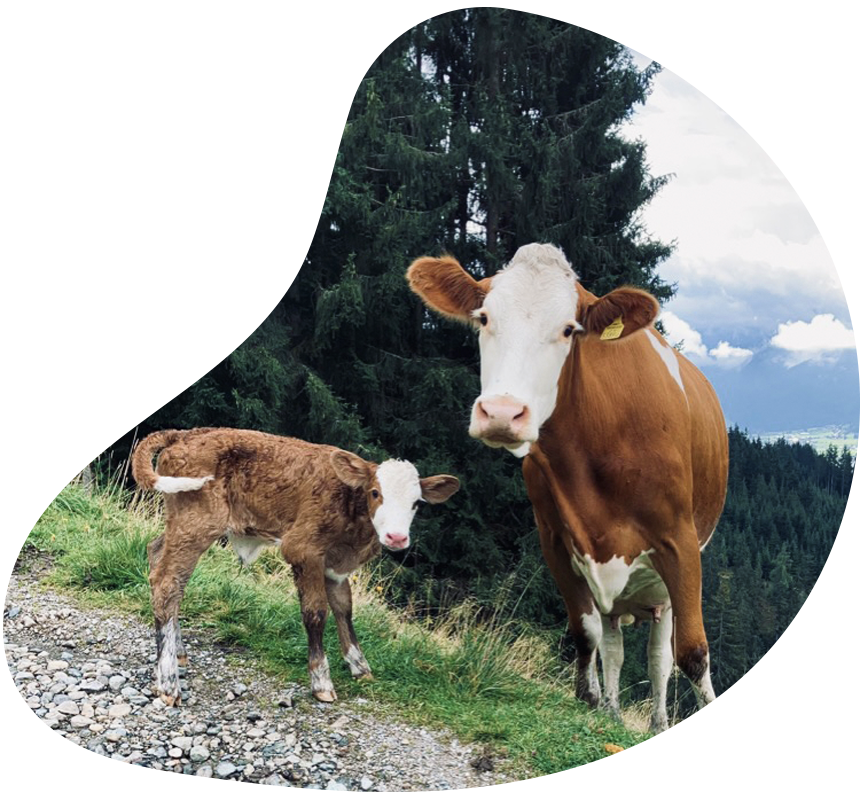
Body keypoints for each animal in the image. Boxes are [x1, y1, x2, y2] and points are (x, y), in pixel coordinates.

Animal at [132, 427, 460, 705]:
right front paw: (321, 682)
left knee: (157, 555)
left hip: (179, 522)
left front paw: (359, 665)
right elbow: (316, 612)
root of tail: (184, 433)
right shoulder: (304, 549)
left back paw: (178, 652)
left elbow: (344, 608)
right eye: (376, 493)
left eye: (416, 503)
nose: (396, 537)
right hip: (196, 523)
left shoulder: (336, 566)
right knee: (167, 583)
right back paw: (168, 681)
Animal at [407, 242, 728, 732]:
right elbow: (585, 632)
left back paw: (657, 722)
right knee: (614, 645)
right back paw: (613, 709)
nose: (502, 413)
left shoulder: (680, 541)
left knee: (659, 657)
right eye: (484, 318)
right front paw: (590, 699)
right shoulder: (555, 540)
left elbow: (691, 652)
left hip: (663, 590)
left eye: (568, 330)